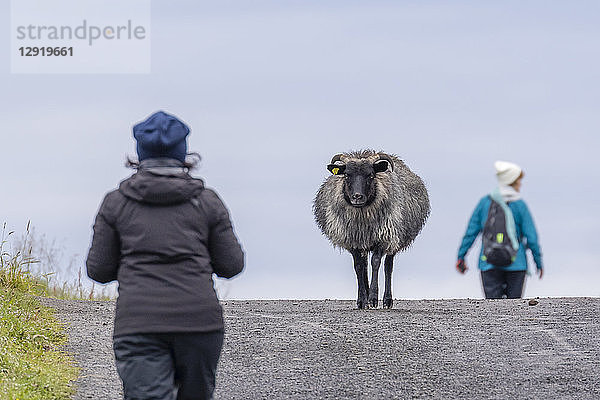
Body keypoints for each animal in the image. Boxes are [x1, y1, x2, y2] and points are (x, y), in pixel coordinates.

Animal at [314, 150, 432, 310]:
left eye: (370, 175)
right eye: (346, 175)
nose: (357, 197)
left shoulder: (382, 237)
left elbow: (376, 263)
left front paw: (373, 298)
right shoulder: (353, 241)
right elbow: (359, 267)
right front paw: (362, 300)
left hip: (394, 239)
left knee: (388, 266)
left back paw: (387, 300)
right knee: (364, 266)